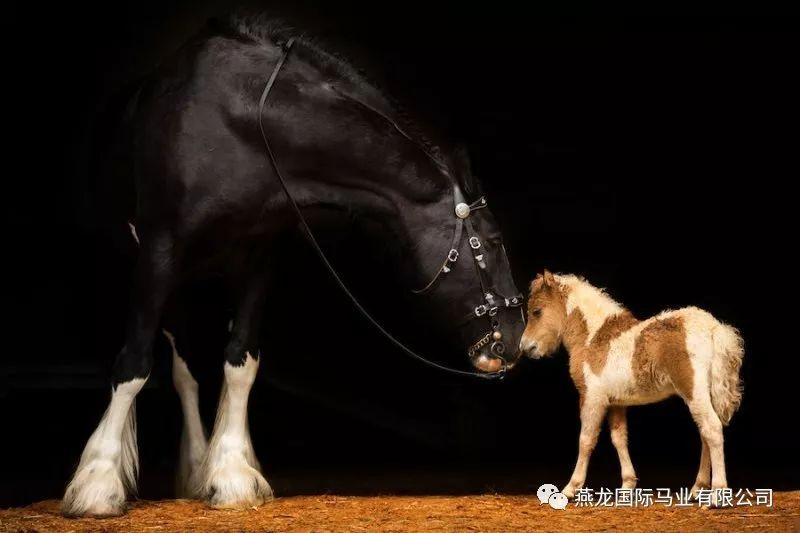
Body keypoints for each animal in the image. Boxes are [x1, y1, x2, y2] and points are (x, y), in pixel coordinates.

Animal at [62, 15, 524, 516]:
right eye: (494, 241)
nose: (517, 337)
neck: (238, 125)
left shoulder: (259, 260)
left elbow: (240, 362)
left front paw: (231, 474)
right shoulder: (159, 253)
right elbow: (133, 365)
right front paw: (97, 484)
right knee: (179, 370)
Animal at [520, 272, 744, 500]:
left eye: (536, 311)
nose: (526, 347)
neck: (593, 337)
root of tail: (714, 328)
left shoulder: (592, 398)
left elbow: (586, 440)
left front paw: (571, 488)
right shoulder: (616, 402)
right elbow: (619, 438)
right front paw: (628, 484)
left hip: (693, 392)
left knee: (712, 429)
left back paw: (717, 493)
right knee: (704, 434)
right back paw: (698, 488)